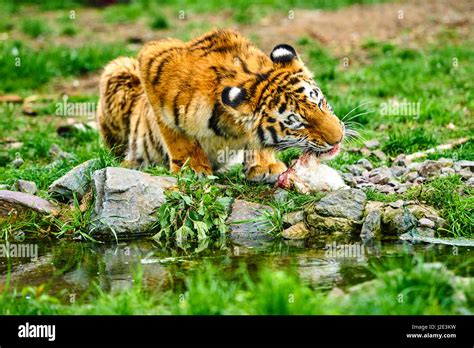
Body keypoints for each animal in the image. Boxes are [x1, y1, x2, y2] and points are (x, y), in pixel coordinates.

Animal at [96, 28, 342, 184]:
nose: (339, 138)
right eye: (297, 123)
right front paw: (192, 169)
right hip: (120, 69)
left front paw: (264, 166)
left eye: (320, 103)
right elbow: (177, 136)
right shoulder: (153, 60)